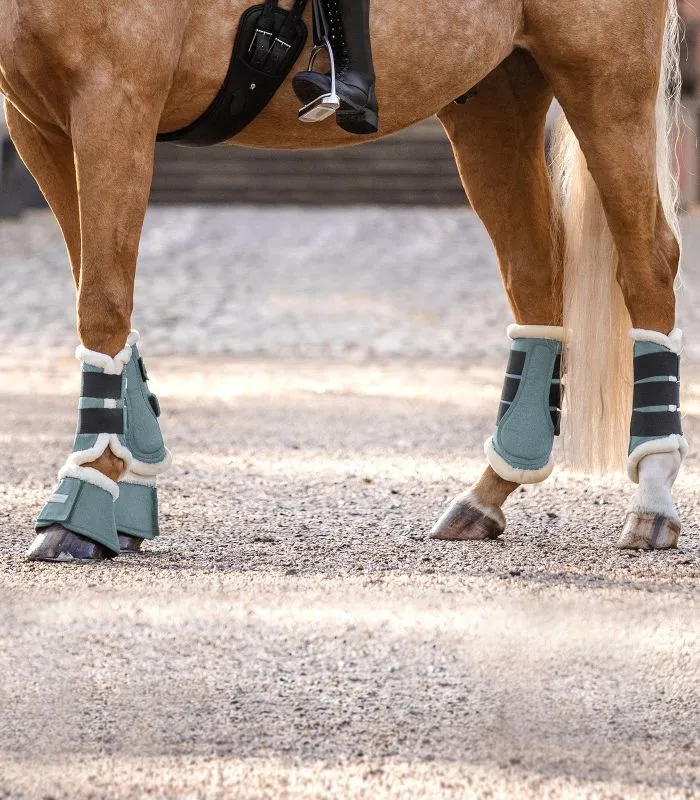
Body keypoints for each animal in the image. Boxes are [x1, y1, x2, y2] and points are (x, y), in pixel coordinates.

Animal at [0, 0, 688, 564]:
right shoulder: (41, 122)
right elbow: (99, 291)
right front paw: (127, 493)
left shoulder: (113, 102)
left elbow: (102, 300)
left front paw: (81, 505)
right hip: (495, 99)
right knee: (536, 277)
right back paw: (489, 492)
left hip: (605, 83)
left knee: (648, 264)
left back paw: (652, 501)